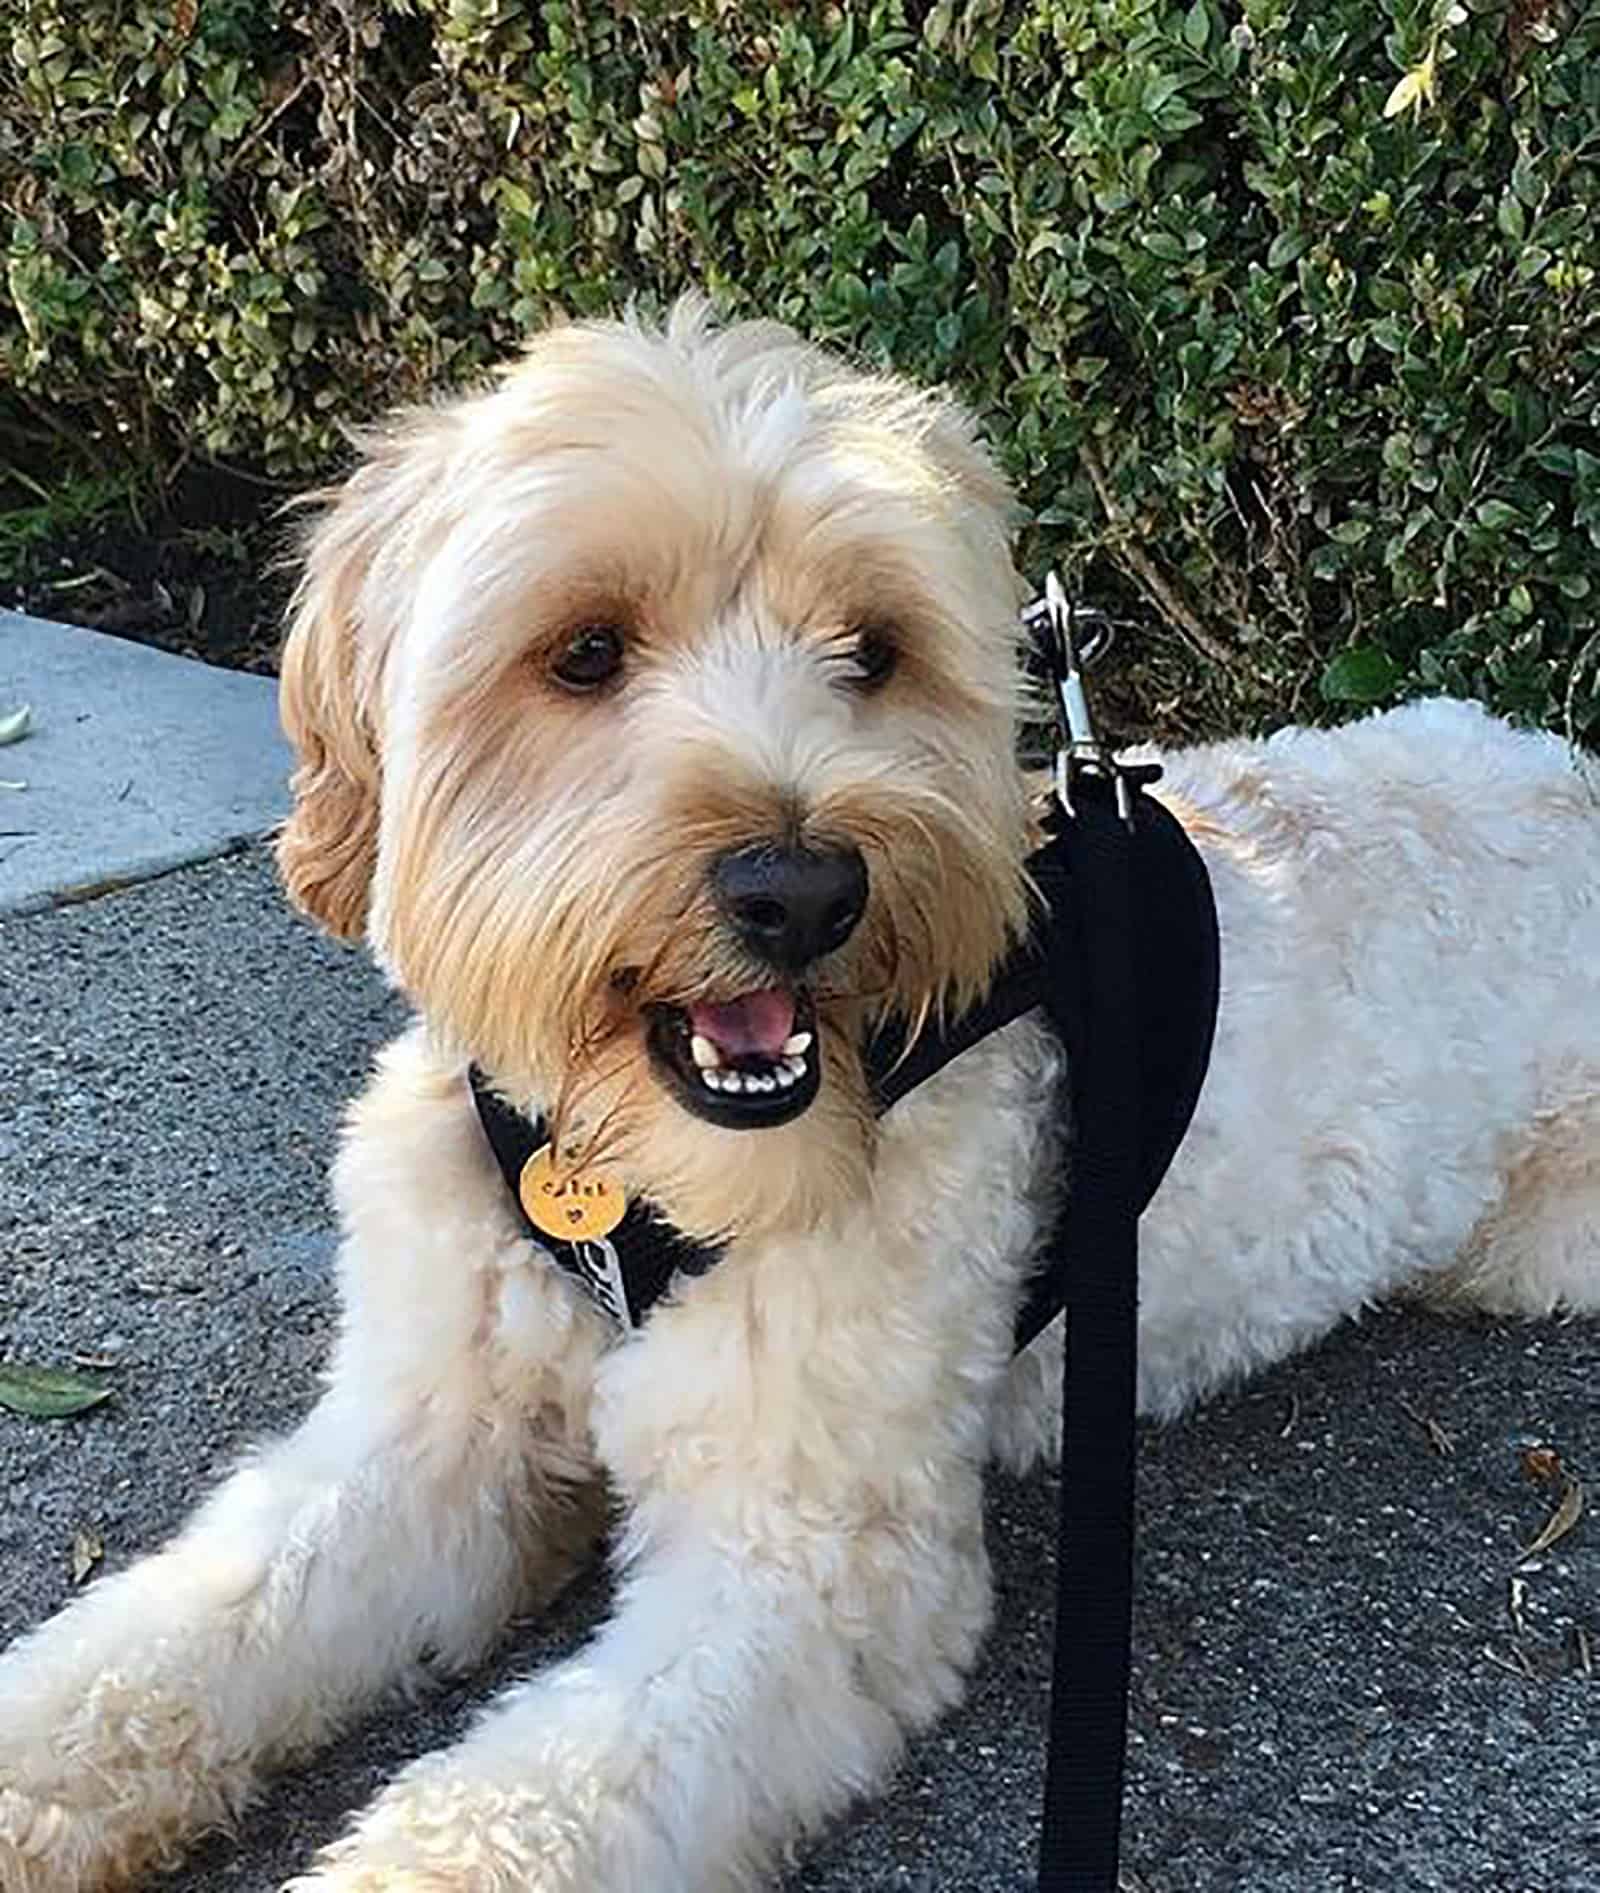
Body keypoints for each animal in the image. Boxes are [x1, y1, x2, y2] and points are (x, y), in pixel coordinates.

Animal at [3, 302, 1598, 1885]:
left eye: (872, 651)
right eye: (584, 651)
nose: (803, 890)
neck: (635, 1181)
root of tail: (1560, 769)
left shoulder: (807, 1568)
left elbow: (512, 1808)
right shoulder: (428, 1443)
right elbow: (186, 1627)